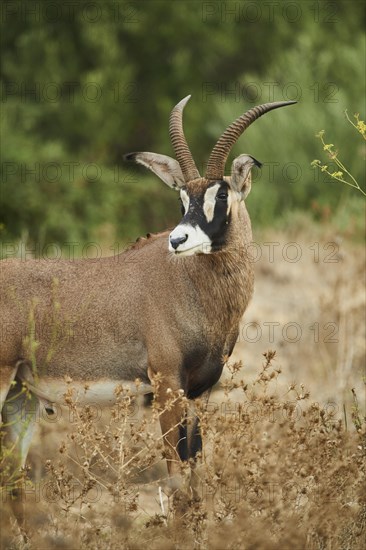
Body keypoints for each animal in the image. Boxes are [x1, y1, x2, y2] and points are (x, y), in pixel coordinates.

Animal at [0, 95, 294, 532]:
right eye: (182, 198)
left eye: (221, 195)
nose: (178, 239)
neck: (190, 284)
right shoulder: (166, 383)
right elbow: (175, 475)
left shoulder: (197, 393)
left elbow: (194, 471)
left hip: (20, 396)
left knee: (11, 478)